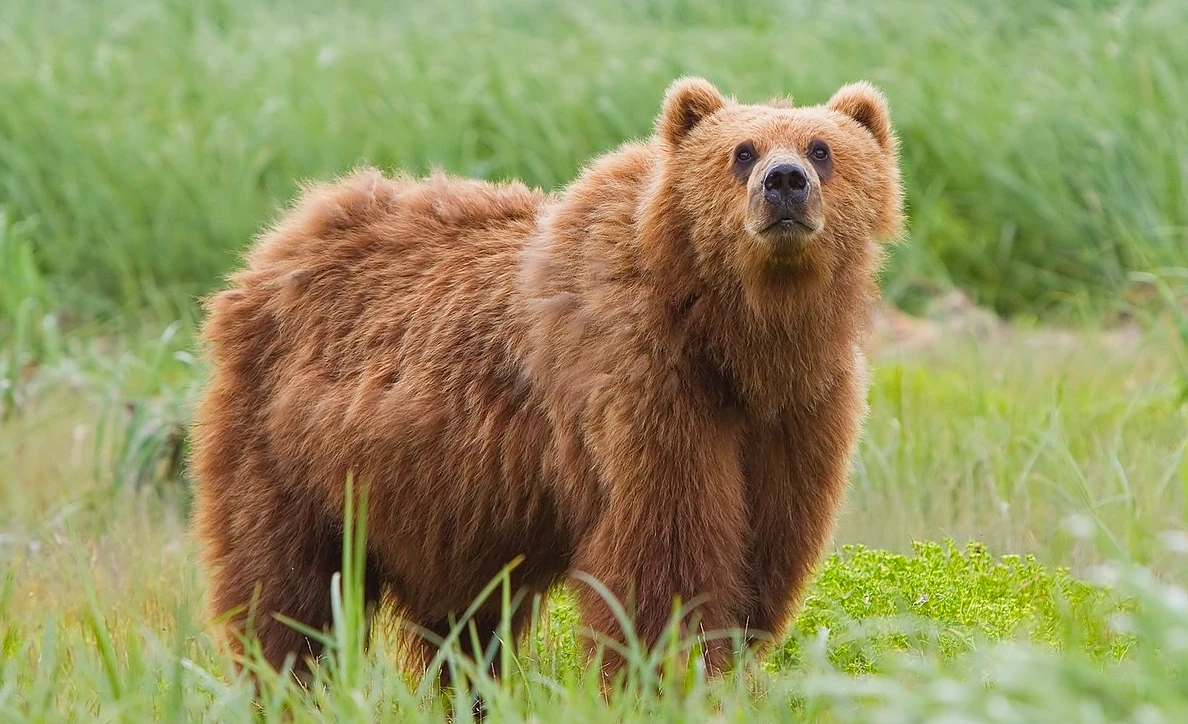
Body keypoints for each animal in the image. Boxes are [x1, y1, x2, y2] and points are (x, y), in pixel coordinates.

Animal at [190, 76, 902, 680]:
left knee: (463, 628)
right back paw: (285, 681)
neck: (735, 341)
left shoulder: (796, 416)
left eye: (822, 148)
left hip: (444, 507)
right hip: (289, 453)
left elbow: (763, 556)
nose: (784, 182)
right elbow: (664, 563)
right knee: (286, 593)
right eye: (741, 151)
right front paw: (668, 673)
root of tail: (279, 240)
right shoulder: (643, 388)